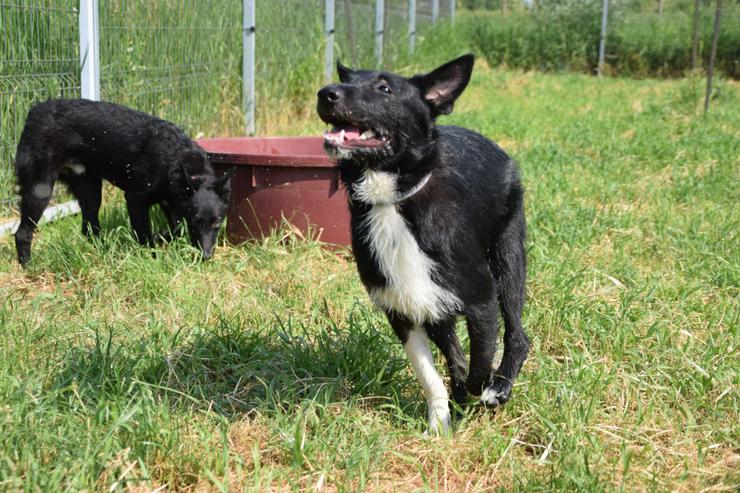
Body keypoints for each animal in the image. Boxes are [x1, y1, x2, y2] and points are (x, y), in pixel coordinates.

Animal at [13, 97, 234, 264]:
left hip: (91, 191)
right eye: (196, 222)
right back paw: (29, 267)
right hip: (40, 189)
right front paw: (152, 259)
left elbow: (176, 230)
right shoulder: (135, 200)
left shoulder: (171, 205)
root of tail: (36, 110)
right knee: (22, 233)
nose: (206, 257)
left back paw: (101, 253)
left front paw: (161, 237)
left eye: (217, 223)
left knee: (89, 229)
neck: (178, 160)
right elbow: (145, 236)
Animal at [316, 53, 528, 430]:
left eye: (384, 88)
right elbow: (433, 375)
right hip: (435, 307)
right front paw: (440, 424)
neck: (392, 201)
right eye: (348, 80)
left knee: (517, 333)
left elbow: (477, 368)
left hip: (509, 259)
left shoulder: (482, 303)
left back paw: (501, 386)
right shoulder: (403, 309)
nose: (326, 93)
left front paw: (481, 392)